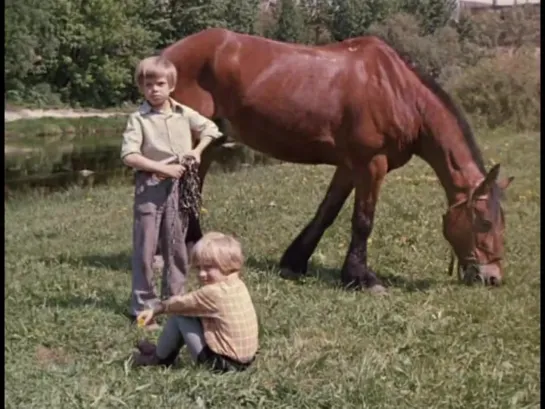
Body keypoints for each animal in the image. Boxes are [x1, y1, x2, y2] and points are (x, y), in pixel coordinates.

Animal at [159, 27, 512, 290]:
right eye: (484, 221)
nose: (492, 277)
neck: (398, 92)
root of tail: (167, 55)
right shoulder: (372, 164)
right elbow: (363, 220)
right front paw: (362, 278)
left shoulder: (349, 166)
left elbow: (327, 211)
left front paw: (295, 262)